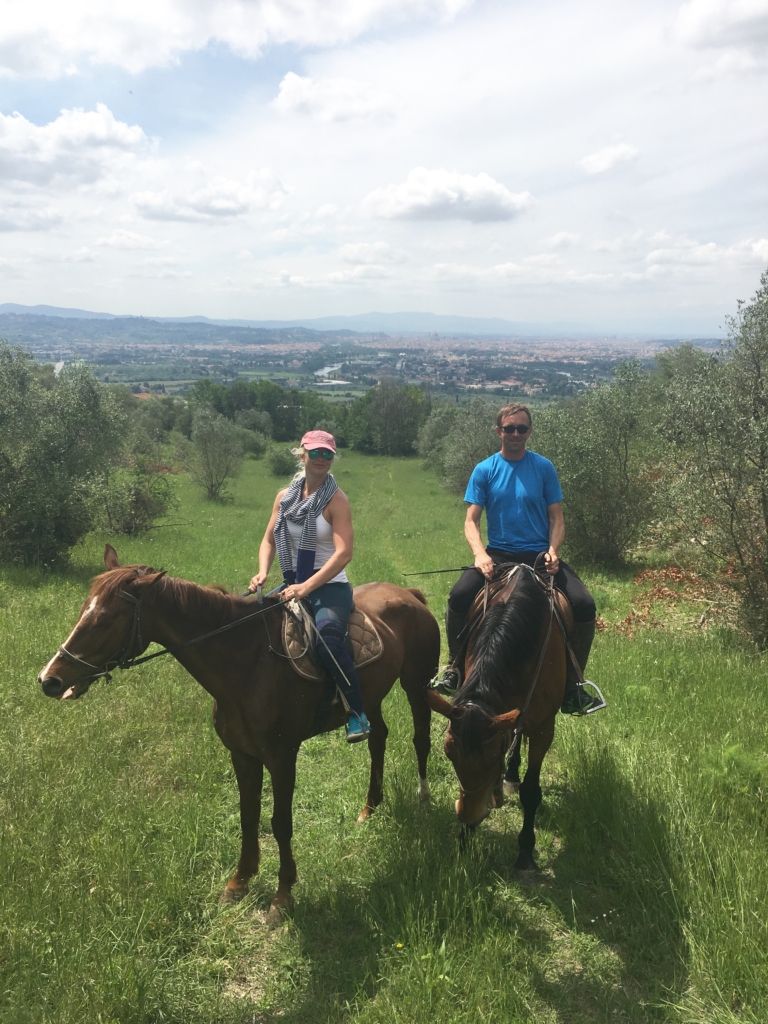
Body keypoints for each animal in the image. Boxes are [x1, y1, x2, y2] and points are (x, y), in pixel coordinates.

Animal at [39, 548, 442, 925]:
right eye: (82, 611)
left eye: (103, 620)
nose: (49, 680)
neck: (249, 662)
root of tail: (409, 594)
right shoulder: (242, 754)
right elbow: (249, 816)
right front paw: (239, 883)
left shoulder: (282, 757)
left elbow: (280, 823)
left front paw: (283, 896)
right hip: (370, 697)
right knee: (378, 738)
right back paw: (369, 807)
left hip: (416, 685)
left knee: (421, 739)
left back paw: (423, 800)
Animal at [430, 569, 569, 872]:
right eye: (449, 755)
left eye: (493, 758)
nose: (469, 817)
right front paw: (464, 842)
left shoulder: (543, 728)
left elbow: (531, 791)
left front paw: (525, 852)